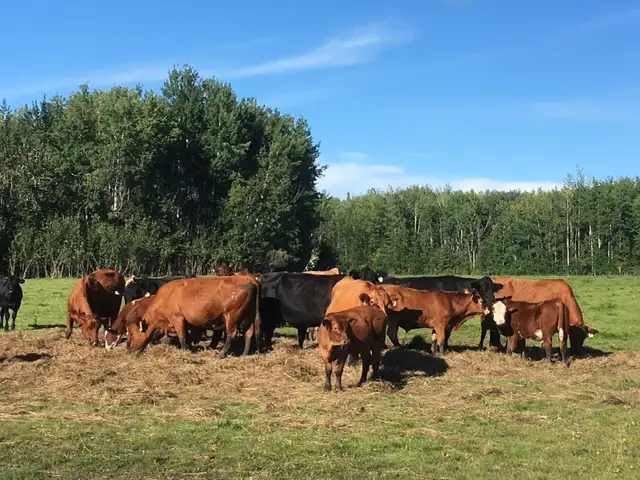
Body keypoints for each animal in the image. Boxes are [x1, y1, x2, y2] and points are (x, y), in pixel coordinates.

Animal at [129, 275, 261, 358]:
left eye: (132, 335)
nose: (129, 349)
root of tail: (249, 279)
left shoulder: (178, 319)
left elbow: (182, 337)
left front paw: (184, 352)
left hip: (232, 317)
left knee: (232, 335)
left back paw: (220, 355)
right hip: (248, 317)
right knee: (249, 333)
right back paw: (244, 354)